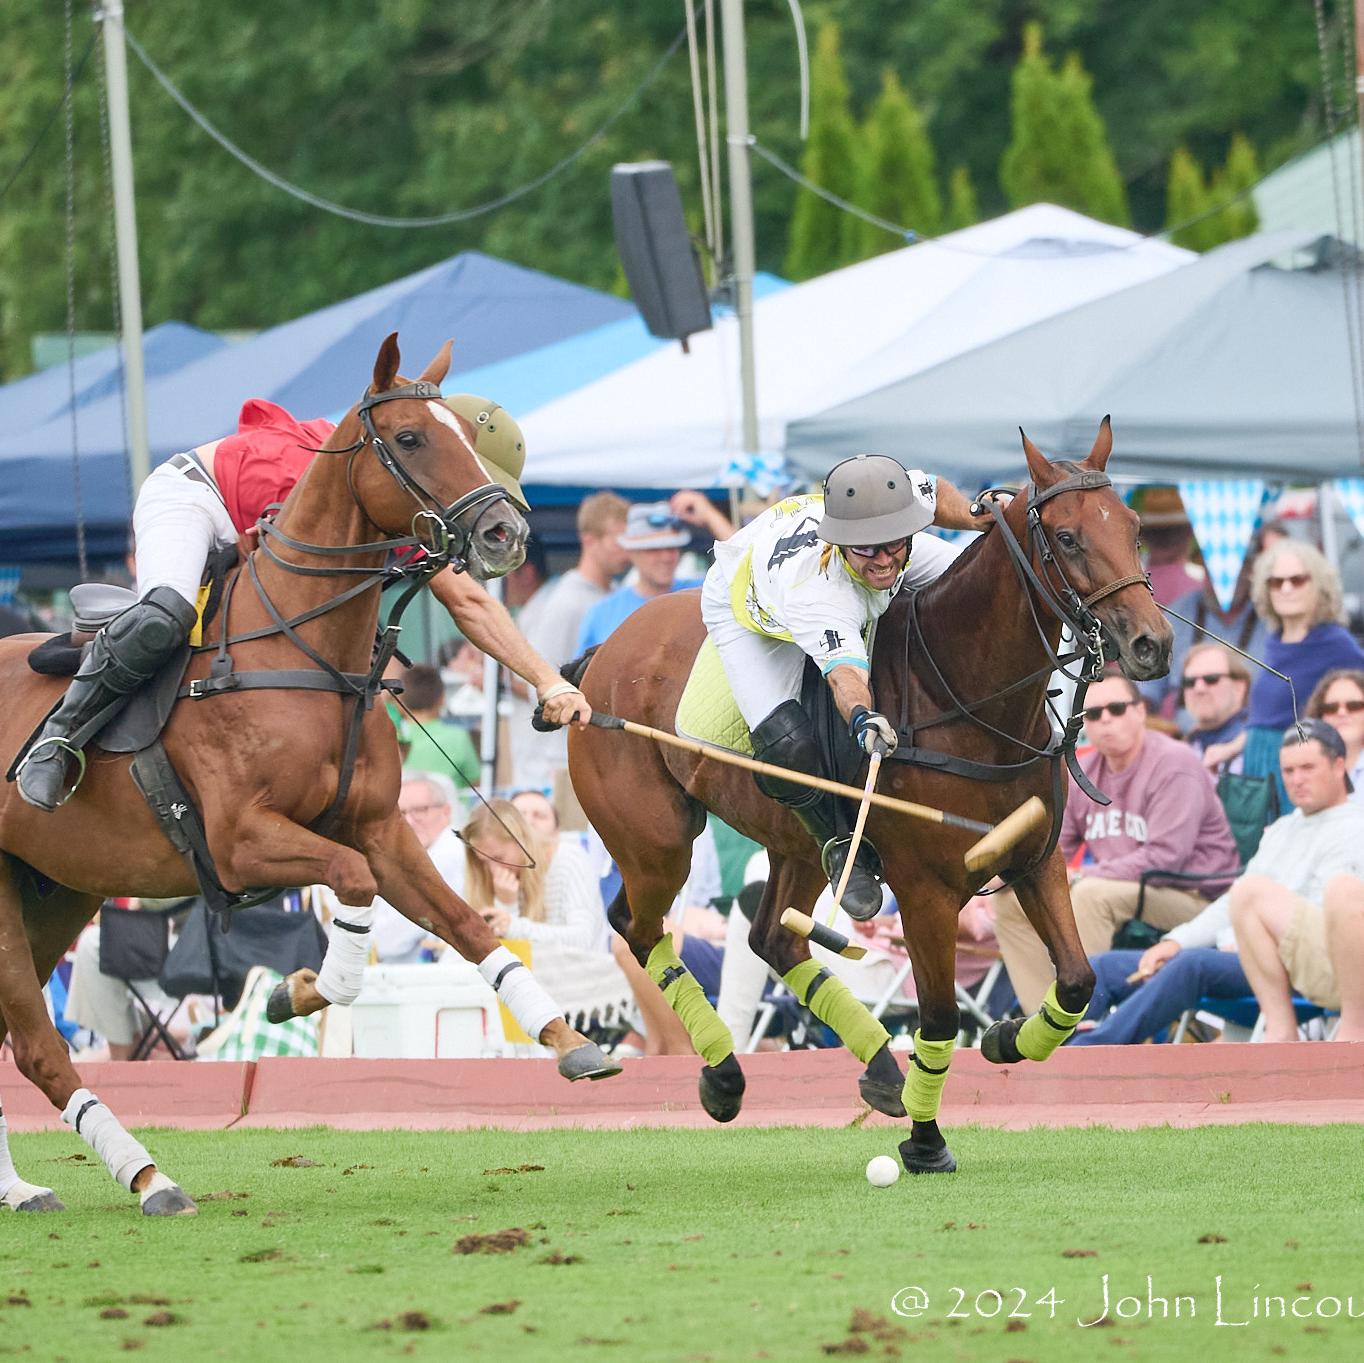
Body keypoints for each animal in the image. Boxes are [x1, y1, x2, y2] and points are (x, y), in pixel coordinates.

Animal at [0, 335, 616, 1216]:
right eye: (411, 438)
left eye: (465, 435)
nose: (504, 533)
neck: (307, 651)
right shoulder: (241, 842)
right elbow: (350, 883)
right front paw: (300, 988)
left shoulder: (383, 828)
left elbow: (467, 925)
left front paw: (568, 1039)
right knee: (37, 1044)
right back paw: (150, 1177)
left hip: (57, 886)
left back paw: (24, 1187)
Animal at [569, 421, 1172, 1170]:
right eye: (1066, 538)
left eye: (1135, 527)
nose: (1152, 644)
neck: (967, 698)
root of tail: (597, 655)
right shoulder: (925, 890)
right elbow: (940, 1016)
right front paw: (926, 1143)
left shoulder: (1035, 859)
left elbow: (1078, 980)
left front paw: (1005, 1038)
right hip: (655, 843)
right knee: (640, 923)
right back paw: (725, 1074)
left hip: (790, 847)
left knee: (773, 937)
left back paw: (881, 1068)